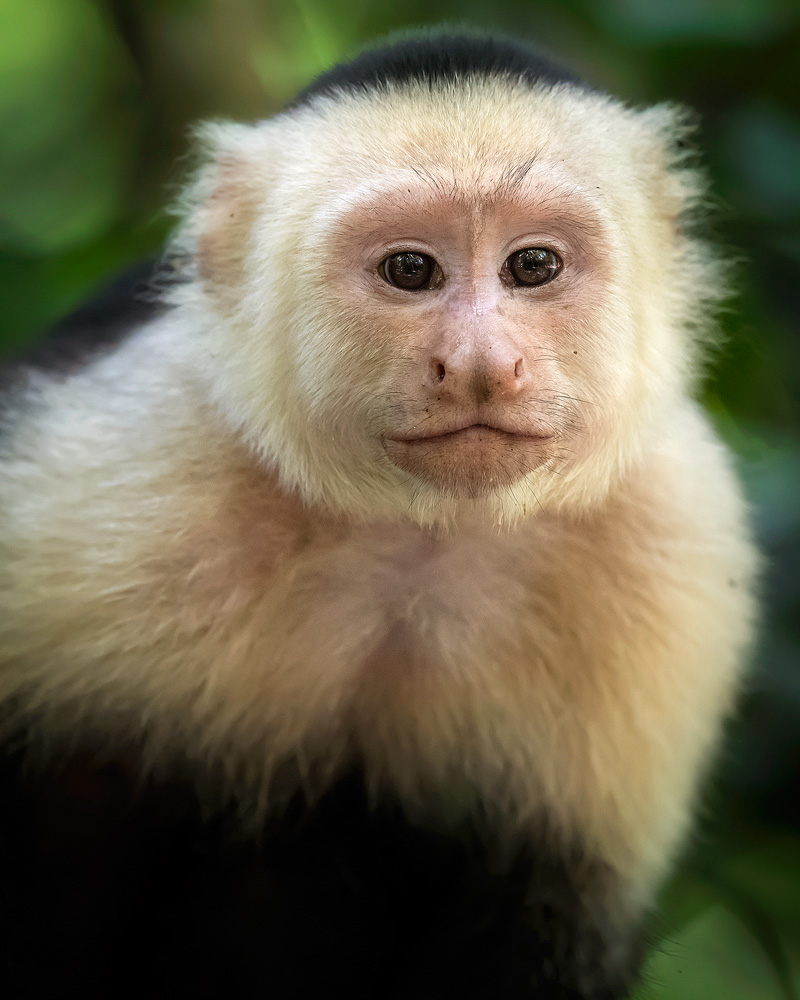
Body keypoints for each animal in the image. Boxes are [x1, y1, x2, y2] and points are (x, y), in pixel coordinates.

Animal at [0, 30, 759, 999]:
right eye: (410, 270)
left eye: (533, 266)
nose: (480, 364)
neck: (416, 535)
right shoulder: (113, 466)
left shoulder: (673, 534)